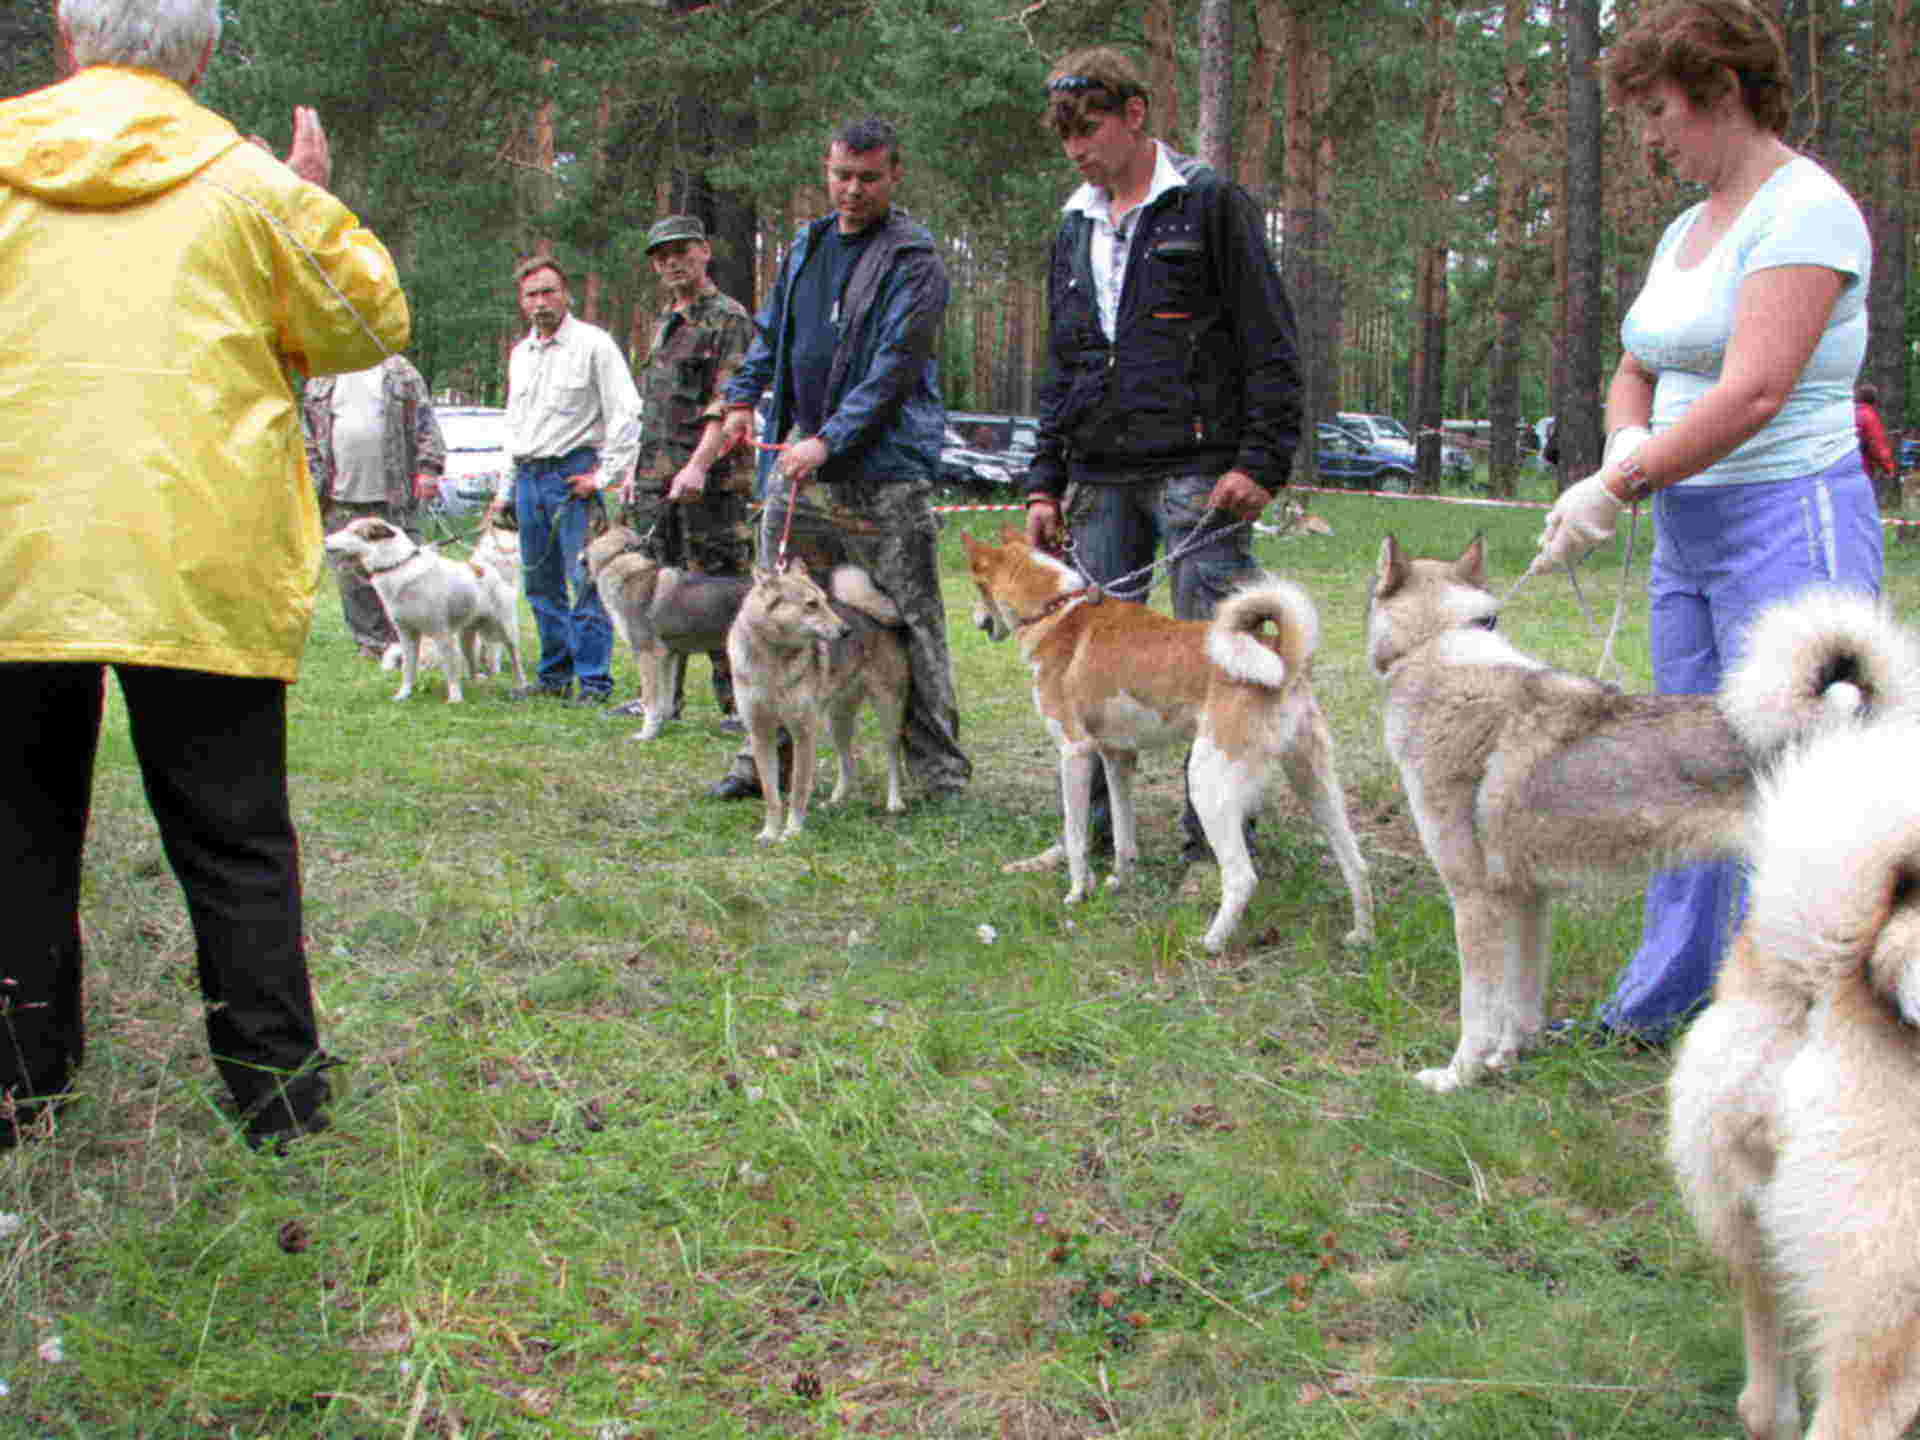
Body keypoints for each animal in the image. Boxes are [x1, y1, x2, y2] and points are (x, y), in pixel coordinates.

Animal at [967, 533, 1374, 960]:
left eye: (976, 588)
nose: (976, 619)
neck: (1057, 612)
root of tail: (1281, 660)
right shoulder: (1117, 758)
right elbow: (1123, 833)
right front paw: (1119, 882)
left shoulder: (1075, 752)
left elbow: (1076, 839)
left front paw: (1078, 893)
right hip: (1315, 785)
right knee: (1356, 864)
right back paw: (1362, 936)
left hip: (1207, 784)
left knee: (1242, 877)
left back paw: (1211, 942)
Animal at [1374, 537, 1912, 1090]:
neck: (1436, 647)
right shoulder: (1527, 899)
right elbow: (1519, 1001)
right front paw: (1507, 1059)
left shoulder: (1474, 900)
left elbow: (1477, 1009)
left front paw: (1457, 1077)